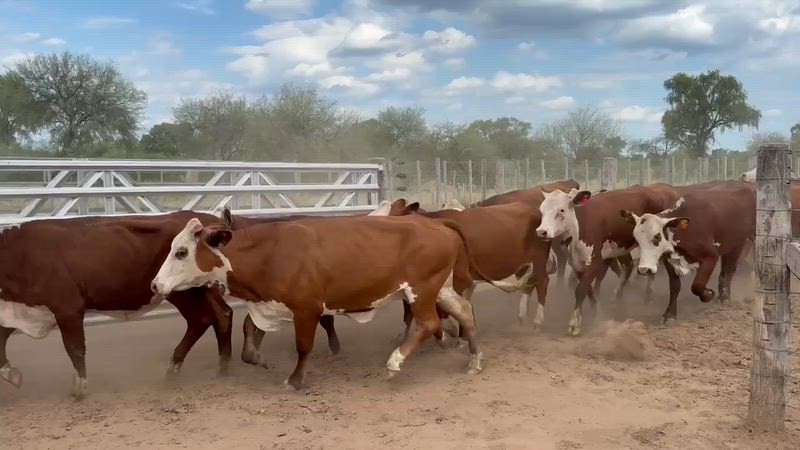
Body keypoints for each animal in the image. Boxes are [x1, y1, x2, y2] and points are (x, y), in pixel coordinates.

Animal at [0, 211, 232, 399]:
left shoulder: (69, 309)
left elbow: (75, 348)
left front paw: (80, 387)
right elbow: (2, 340)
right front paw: (13, 375)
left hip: (182, 291)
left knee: (206, 318)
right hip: (196, 290)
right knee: (218, 315)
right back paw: (210, 365)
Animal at [150, 215, 525, 390]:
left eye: (181, 251)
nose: (156, 284)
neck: (271, 251)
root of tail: (435, 223)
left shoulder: (306, 308)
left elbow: (303, 346)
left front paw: (295, 380)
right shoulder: (269, 304)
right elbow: (248, 330)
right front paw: (258, 358)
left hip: (421, 289)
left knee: (428, 323)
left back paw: (395, 362)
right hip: (440, 288)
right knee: (465, 311)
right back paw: (475, 360)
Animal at [621, 183, 755, 322]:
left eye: (657, 236)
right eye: (637, 239)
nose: (644, 269)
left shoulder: (711, 257)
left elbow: (697, 285)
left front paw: (708, 295)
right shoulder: (669, 261)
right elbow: (675, 287)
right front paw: (669, 315)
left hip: (739, 243)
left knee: (730, 270)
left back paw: (725, 297)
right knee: (724, 271)